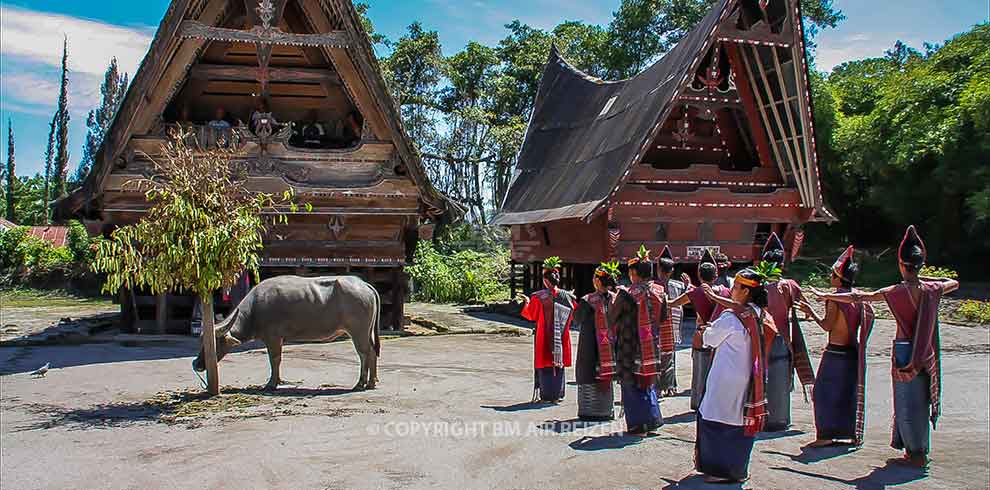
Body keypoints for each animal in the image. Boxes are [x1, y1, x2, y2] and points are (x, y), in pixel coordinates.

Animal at [194, 276, 384, 390]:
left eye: (214, 343)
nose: (197, 364)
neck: (255, 310)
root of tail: (364, 284)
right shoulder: (278, 339)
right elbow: (277, 360)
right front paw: (277, 381)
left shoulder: (272, 338)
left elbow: (274, 359)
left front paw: (271, 384)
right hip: (366, 332)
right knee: (372, 352)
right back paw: (372, 382)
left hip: (358, 332)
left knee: (365, 353)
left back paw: (361, 383)